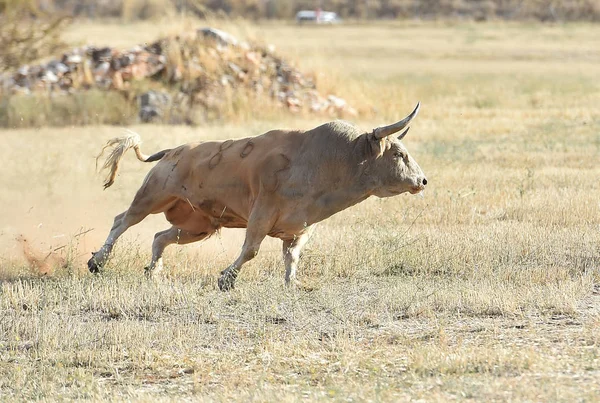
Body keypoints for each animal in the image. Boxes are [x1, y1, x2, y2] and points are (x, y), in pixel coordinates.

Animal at [89, 102, 426, 290]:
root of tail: (173, 151)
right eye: (399, 153)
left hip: (198, 225)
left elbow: (292, 256)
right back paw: (98, 261)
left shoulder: (300, 228)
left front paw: (291, 284)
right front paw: (226, 279)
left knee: (160, 236)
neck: (325, 159)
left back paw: (153, 272)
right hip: (152, 196)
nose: (422, 180)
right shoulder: (261, 214)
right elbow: (250, 249)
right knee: (123, 220)